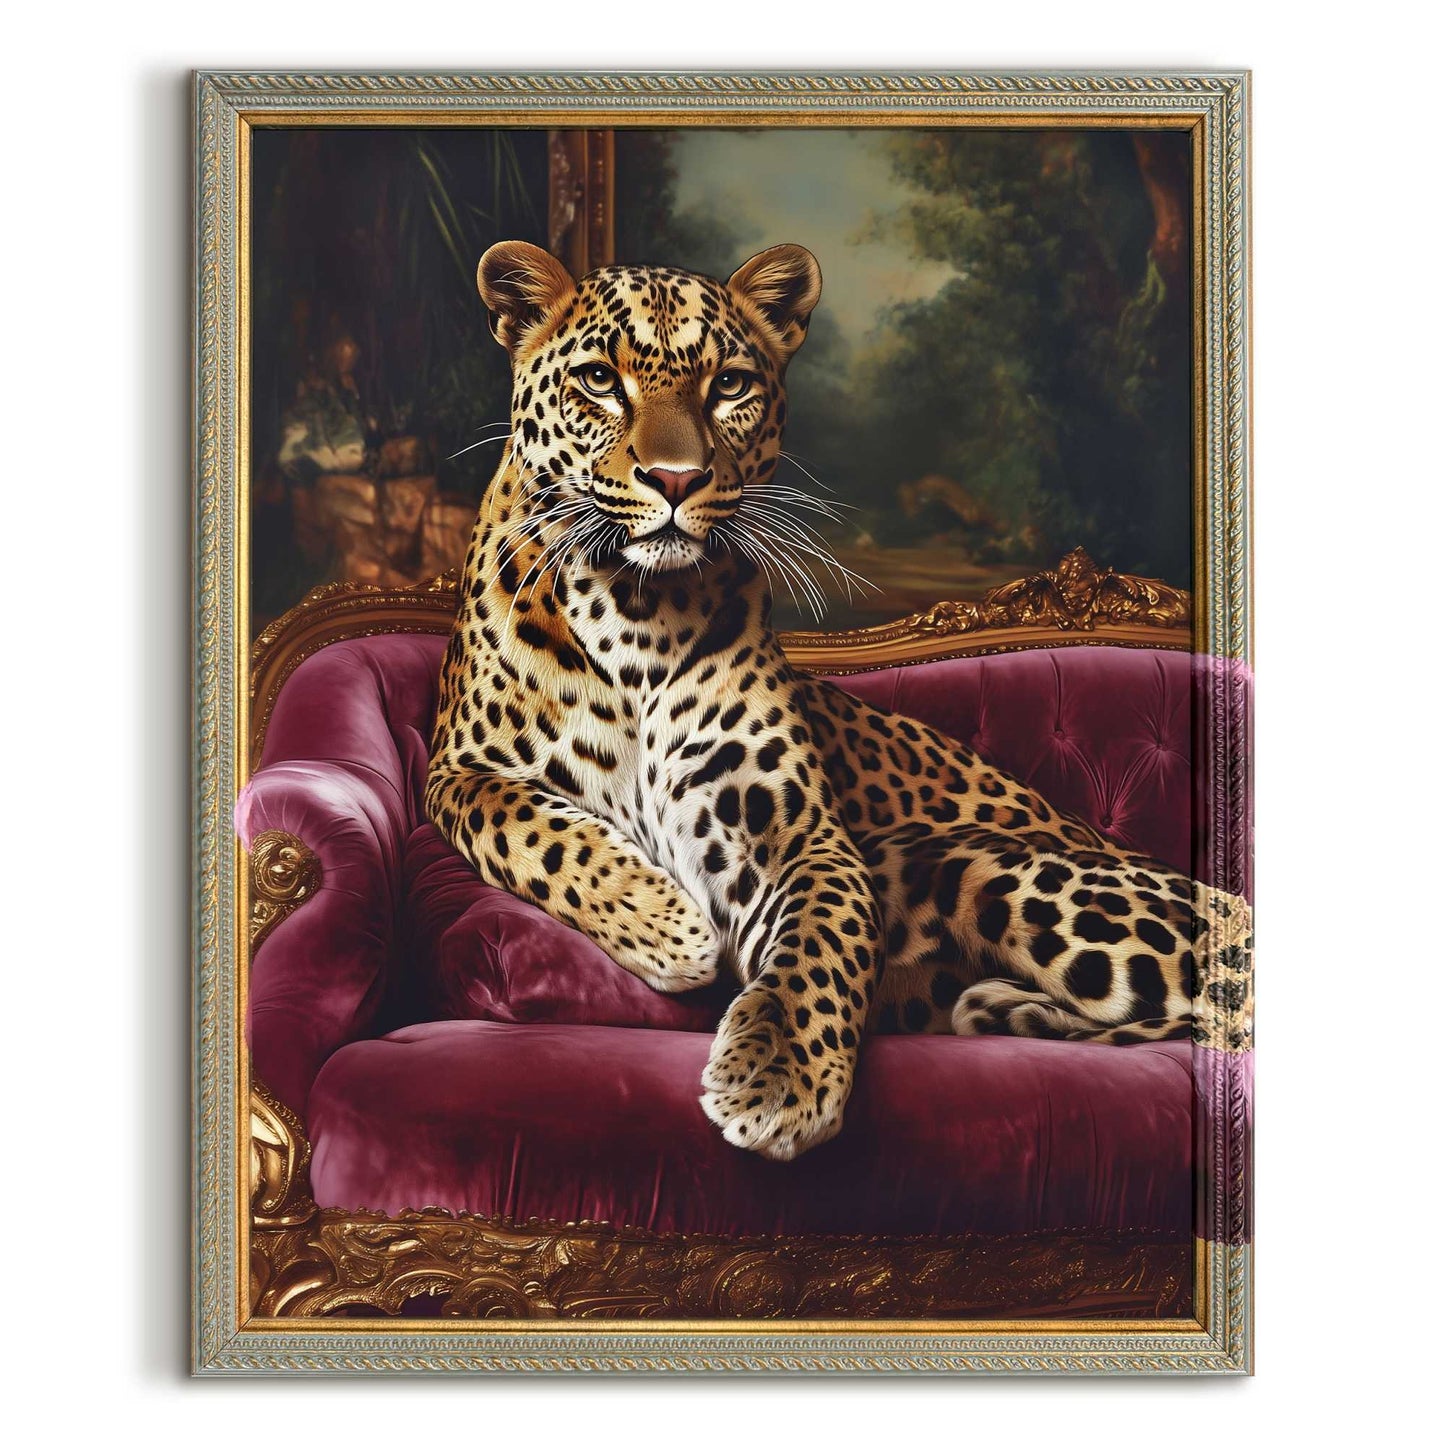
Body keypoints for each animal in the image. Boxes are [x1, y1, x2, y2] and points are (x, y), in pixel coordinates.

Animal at [425, 238, 1254, 1162]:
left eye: (728, 385)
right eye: (601, 379)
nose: (675, 478)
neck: (636, 607)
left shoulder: (795, 833)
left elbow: (821, 938)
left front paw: (779, 1071)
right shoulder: (456, 770)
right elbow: (528, 828)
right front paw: (667, 925)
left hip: (994, 864)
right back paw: (1001, 1006)